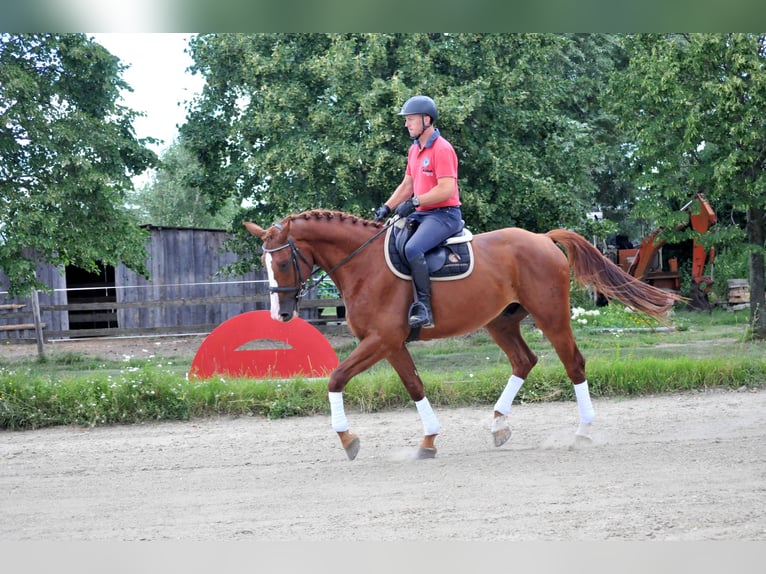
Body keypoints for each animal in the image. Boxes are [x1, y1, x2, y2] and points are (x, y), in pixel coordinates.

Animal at [244, 212, 680, 464]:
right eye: (264, 263)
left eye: (283, 262)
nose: (280, 314)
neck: (363, 264)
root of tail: (541, 237)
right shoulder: (391, 344)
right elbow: (414, 385)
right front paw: (428, 440)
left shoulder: (381, 340)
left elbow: (335, 378)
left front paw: (348, 439)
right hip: (500, 322)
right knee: (524, 361)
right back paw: (499, 426)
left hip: (551, 317)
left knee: (573, 363)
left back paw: (582, 432)